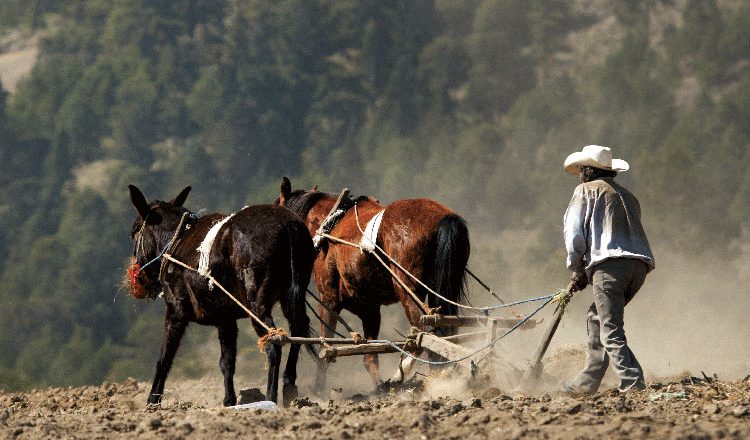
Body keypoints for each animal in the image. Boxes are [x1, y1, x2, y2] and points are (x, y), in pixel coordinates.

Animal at [129, 185, 314, 406]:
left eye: (133, 232)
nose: (137, 276)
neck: (176, 242)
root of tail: (289, 227)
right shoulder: (226, 321)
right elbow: (227, 362)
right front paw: (229, 400)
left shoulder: (175, 313)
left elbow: (164, 358)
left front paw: (152, 399)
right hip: (292, 298)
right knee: (298, 331)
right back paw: (289, 385)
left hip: (256, 306)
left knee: (273, 343)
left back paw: (270, 397)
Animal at [280, 177, 472, 390]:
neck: (329, 224)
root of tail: (444, 218)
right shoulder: (370, 309)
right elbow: (370, 355)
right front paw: (378, 388)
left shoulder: (328, 299)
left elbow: (326, 349)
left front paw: (318, 390)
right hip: (439, 291)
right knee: (443, 331)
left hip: (408, 289)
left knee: (424, 331)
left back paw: (402, 373)